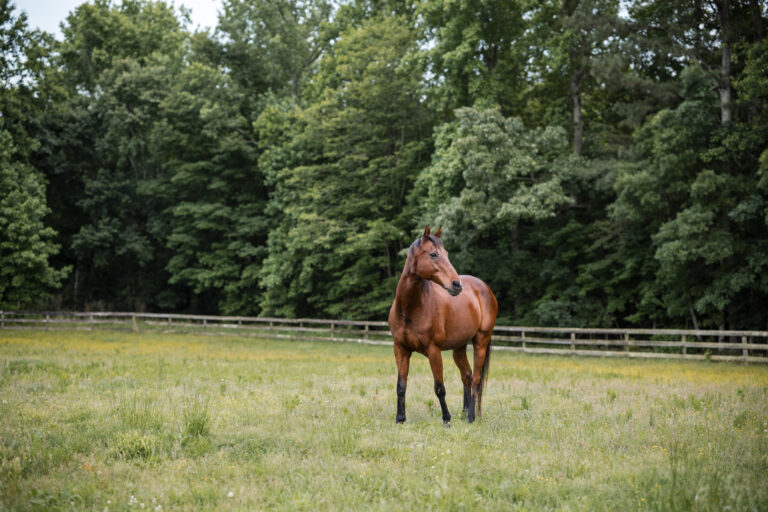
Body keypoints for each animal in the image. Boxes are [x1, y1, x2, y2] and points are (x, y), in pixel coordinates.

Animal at [388, 225, 498, 424]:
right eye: (433, 254)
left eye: (446, 253)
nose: (456, 284)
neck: (409, 309)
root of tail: (484, 288)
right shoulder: (400, 348)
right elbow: (401, 384)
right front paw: (400, 418)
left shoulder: (434, 350)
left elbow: (439, 387)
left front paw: (446, 419)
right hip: (459, 347)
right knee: (467, 376)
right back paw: (463, 413)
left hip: (481, 341)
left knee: (476, 379)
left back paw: (470, 417)